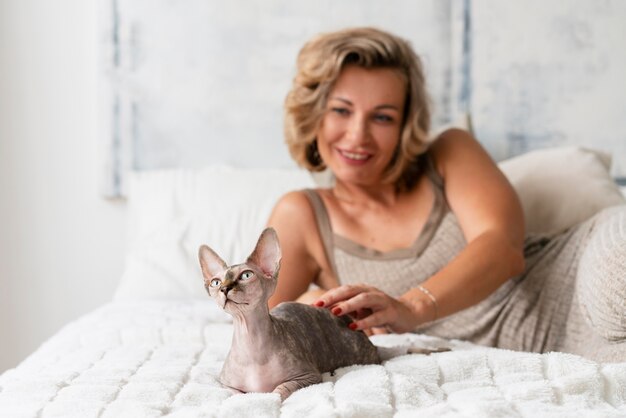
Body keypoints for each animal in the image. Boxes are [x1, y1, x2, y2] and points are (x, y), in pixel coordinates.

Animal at [197, 227, 378, 400]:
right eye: (215, 282)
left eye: (246, 275)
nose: (224, 288)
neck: (250, 341)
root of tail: (342, 316)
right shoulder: (225, 384)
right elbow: (237, 394)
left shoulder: (309, 376)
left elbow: (279, 390)